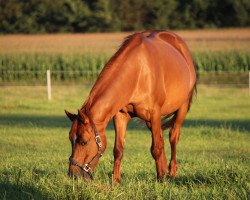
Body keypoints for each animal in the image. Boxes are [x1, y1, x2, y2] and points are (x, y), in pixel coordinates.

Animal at [65, 30, 197, 183]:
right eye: (70, 139)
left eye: (84, 142)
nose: (73, 175)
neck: (138, 72)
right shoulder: (121, 116)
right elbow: (118, 150)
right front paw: (115, 182)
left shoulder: (155, 114)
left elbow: (156, 148)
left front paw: (160, 179)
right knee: (161, 138)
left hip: (182, 108)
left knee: (173, 136)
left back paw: (172, 172)